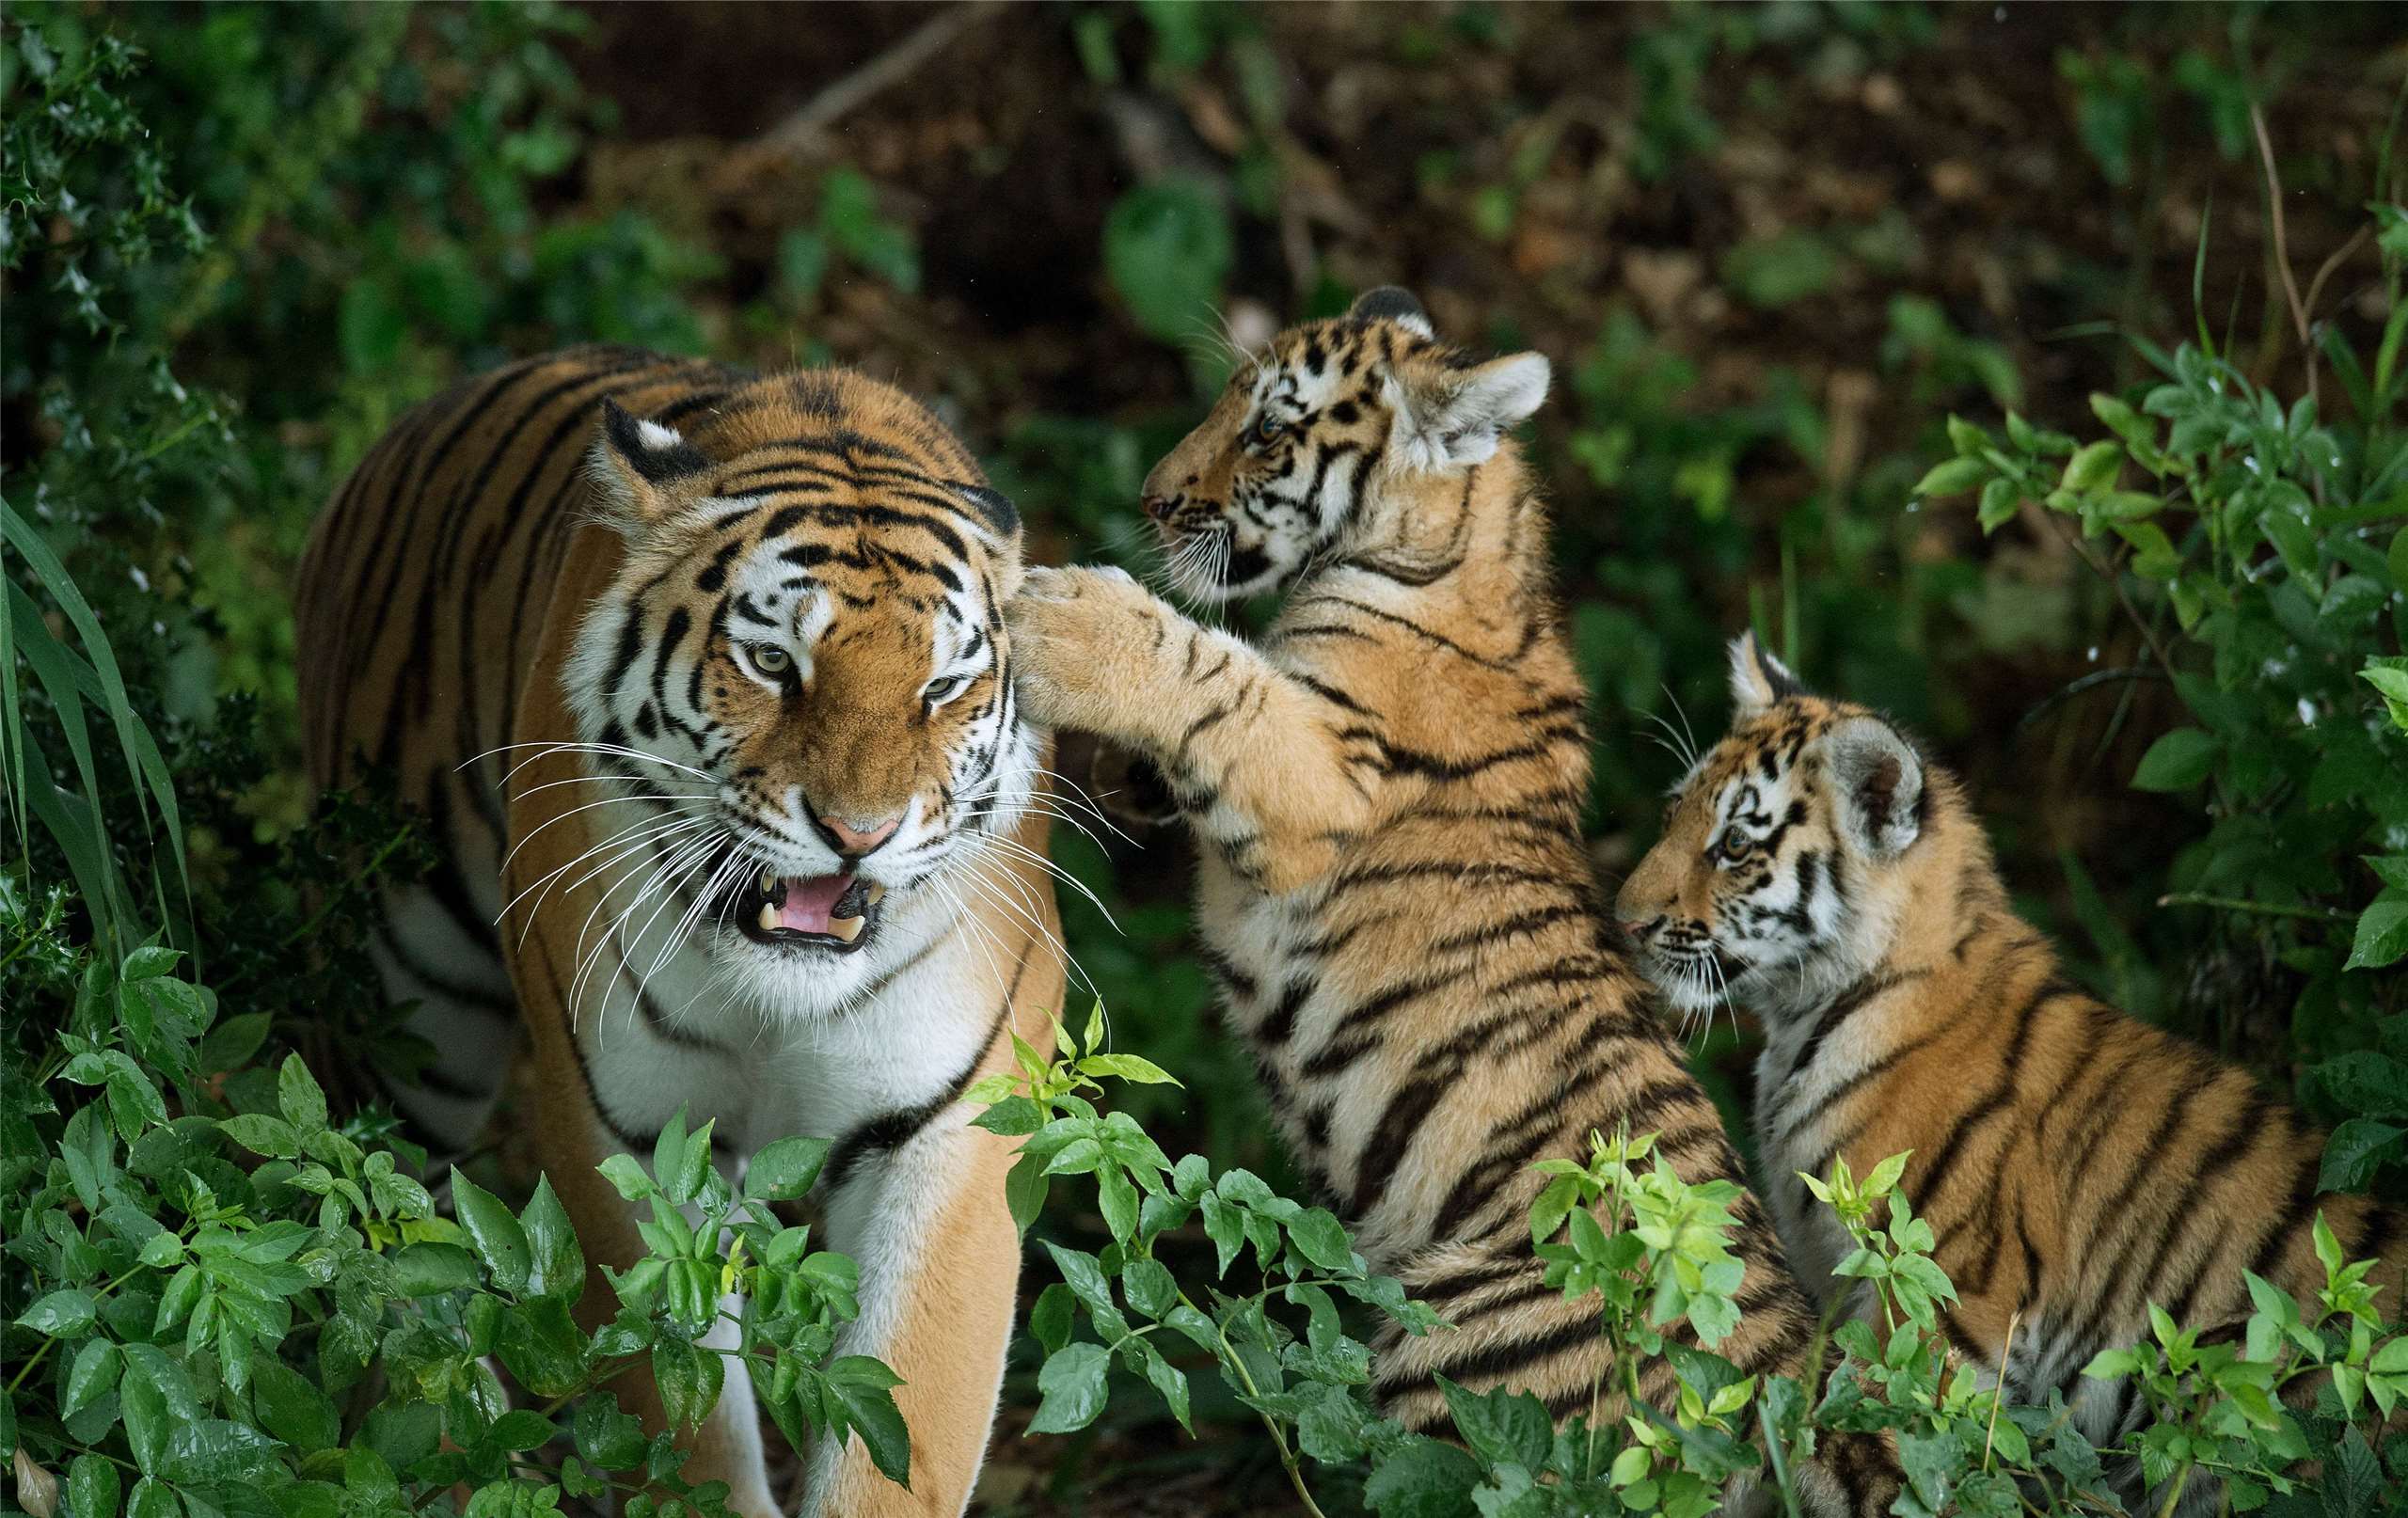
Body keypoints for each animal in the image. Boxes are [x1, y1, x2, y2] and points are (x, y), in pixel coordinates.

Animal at [295, 346, 1066, 1518]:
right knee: (382, 1234)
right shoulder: (625, 1131)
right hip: (411, 996)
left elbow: (901, 1429)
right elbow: (682, 1414)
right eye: (773, 663)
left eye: (940, 687)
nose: (858, 832)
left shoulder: (940, 1131)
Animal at [1003, 288, 1899, 1514]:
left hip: (1459, 1359)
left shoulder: (1315, 781)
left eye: (1268, 430)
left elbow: (1212, 671)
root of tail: (1777, 1376)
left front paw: (1066, 618)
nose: (1152, 498)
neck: (1445, 548)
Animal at [1614, 631, 2408, 1486]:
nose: (1623, 919)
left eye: (1734, 844)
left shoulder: (1931, 1300)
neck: (1808, 1016)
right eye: (1673, 812)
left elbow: (1892, 1447)